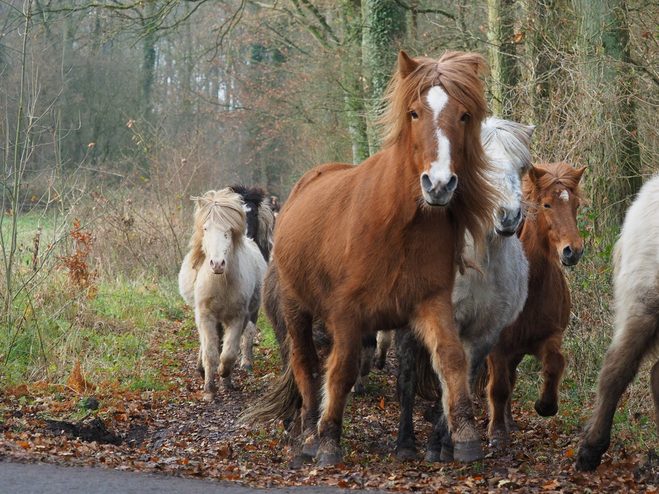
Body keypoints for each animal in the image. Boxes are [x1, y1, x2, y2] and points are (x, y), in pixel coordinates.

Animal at [180, 189, 268, 402]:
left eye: (229, 230)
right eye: (205, 228)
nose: (217, 264)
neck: (220, 283)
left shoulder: (237, 317)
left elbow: (228, 354)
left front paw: (224, 378)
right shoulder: (206, 316)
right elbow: (211, 353)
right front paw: (209, 390)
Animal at [250, 51, 498, 466]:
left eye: (464, 115)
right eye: (414, 113)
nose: (439, 185)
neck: (398, 227)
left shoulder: (429, 303)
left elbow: (450, 357)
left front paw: (463, 434)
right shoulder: (347, 314)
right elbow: (341, 372)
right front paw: (328, 441)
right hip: (295, 308)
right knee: (305, 365)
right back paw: (306, 438)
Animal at [392, 116, 536, 464]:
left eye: (523, 166)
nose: (508, 216)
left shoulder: (485, 334)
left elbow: (464, 379)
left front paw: (445, 444)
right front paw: (429, 445)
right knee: (407, 380)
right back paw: (405, 443)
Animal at [484, 162, 588, 444]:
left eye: (576, 204)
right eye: (546, 204)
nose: (573, 251)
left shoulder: (549, 336)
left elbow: (554, 364)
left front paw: (546, 405)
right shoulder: (496, 345)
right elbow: (498, 387)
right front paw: (497, 432)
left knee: (511, 378)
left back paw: (510, 422)